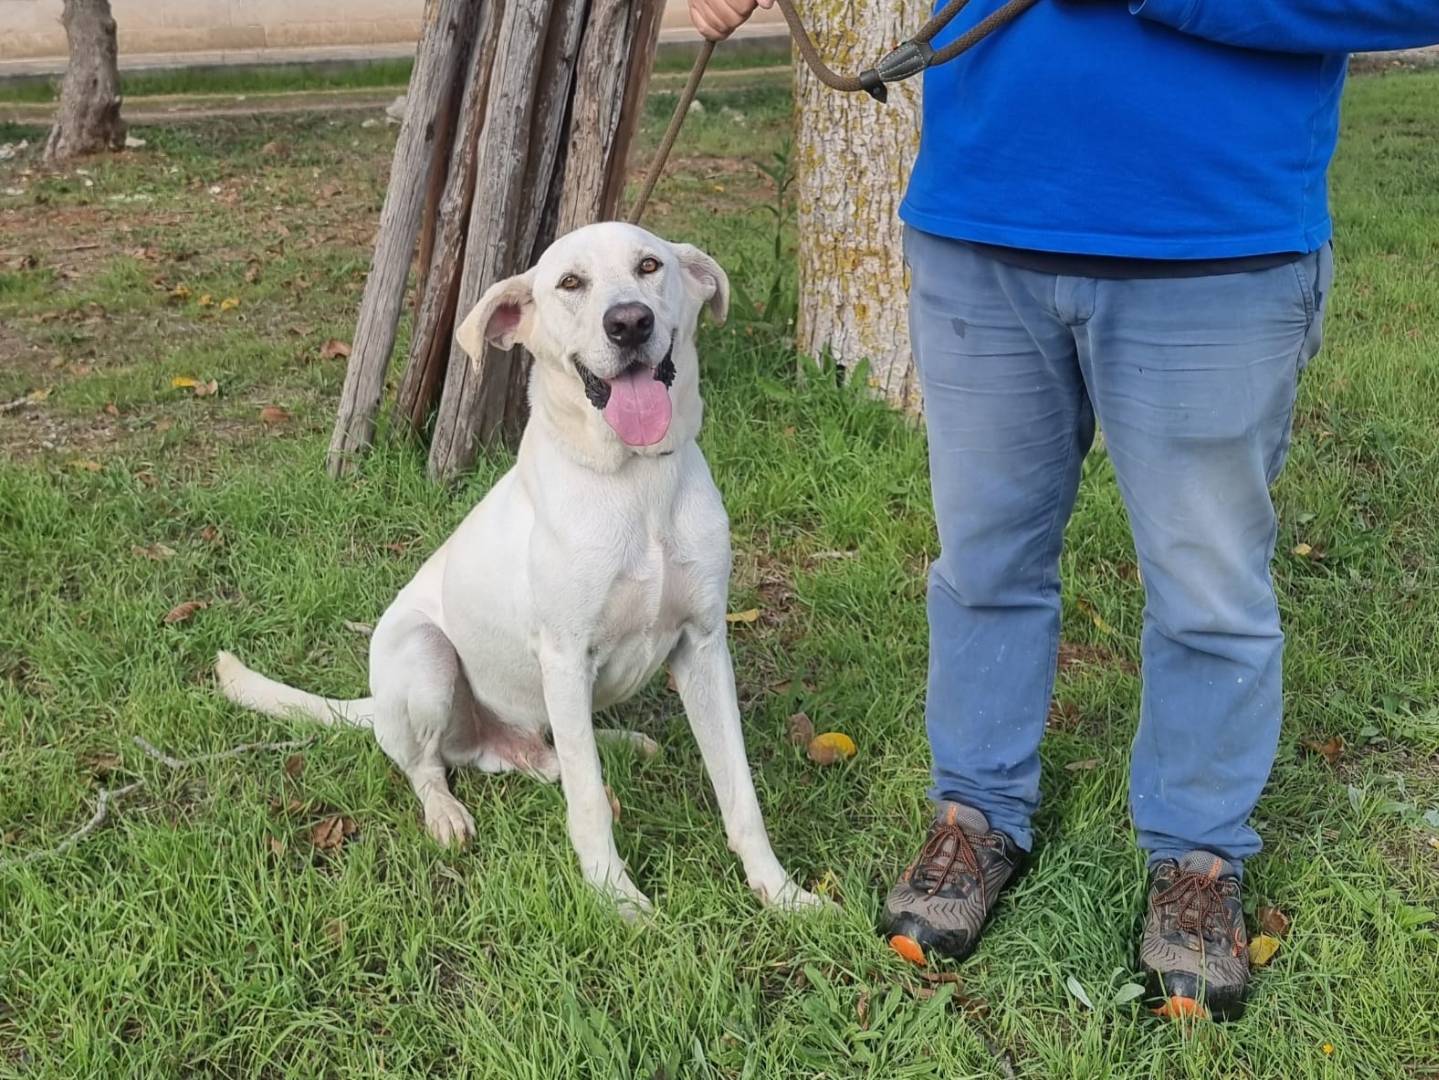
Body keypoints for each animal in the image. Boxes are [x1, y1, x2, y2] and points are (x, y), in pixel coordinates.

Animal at [212, 224, 823, 914]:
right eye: (569, 283)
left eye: (649, 266)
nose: (629, 323)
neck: (636, 481)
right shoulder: (566, 655)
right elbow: (590, 804)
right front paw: (617, 901)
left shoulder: (703, 645)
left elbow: (739, 791)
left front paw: (783, 893)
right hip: (425, 657)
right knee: (433, 764)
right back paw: (445, 813)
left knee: (556, 750)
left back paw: (615, 746)